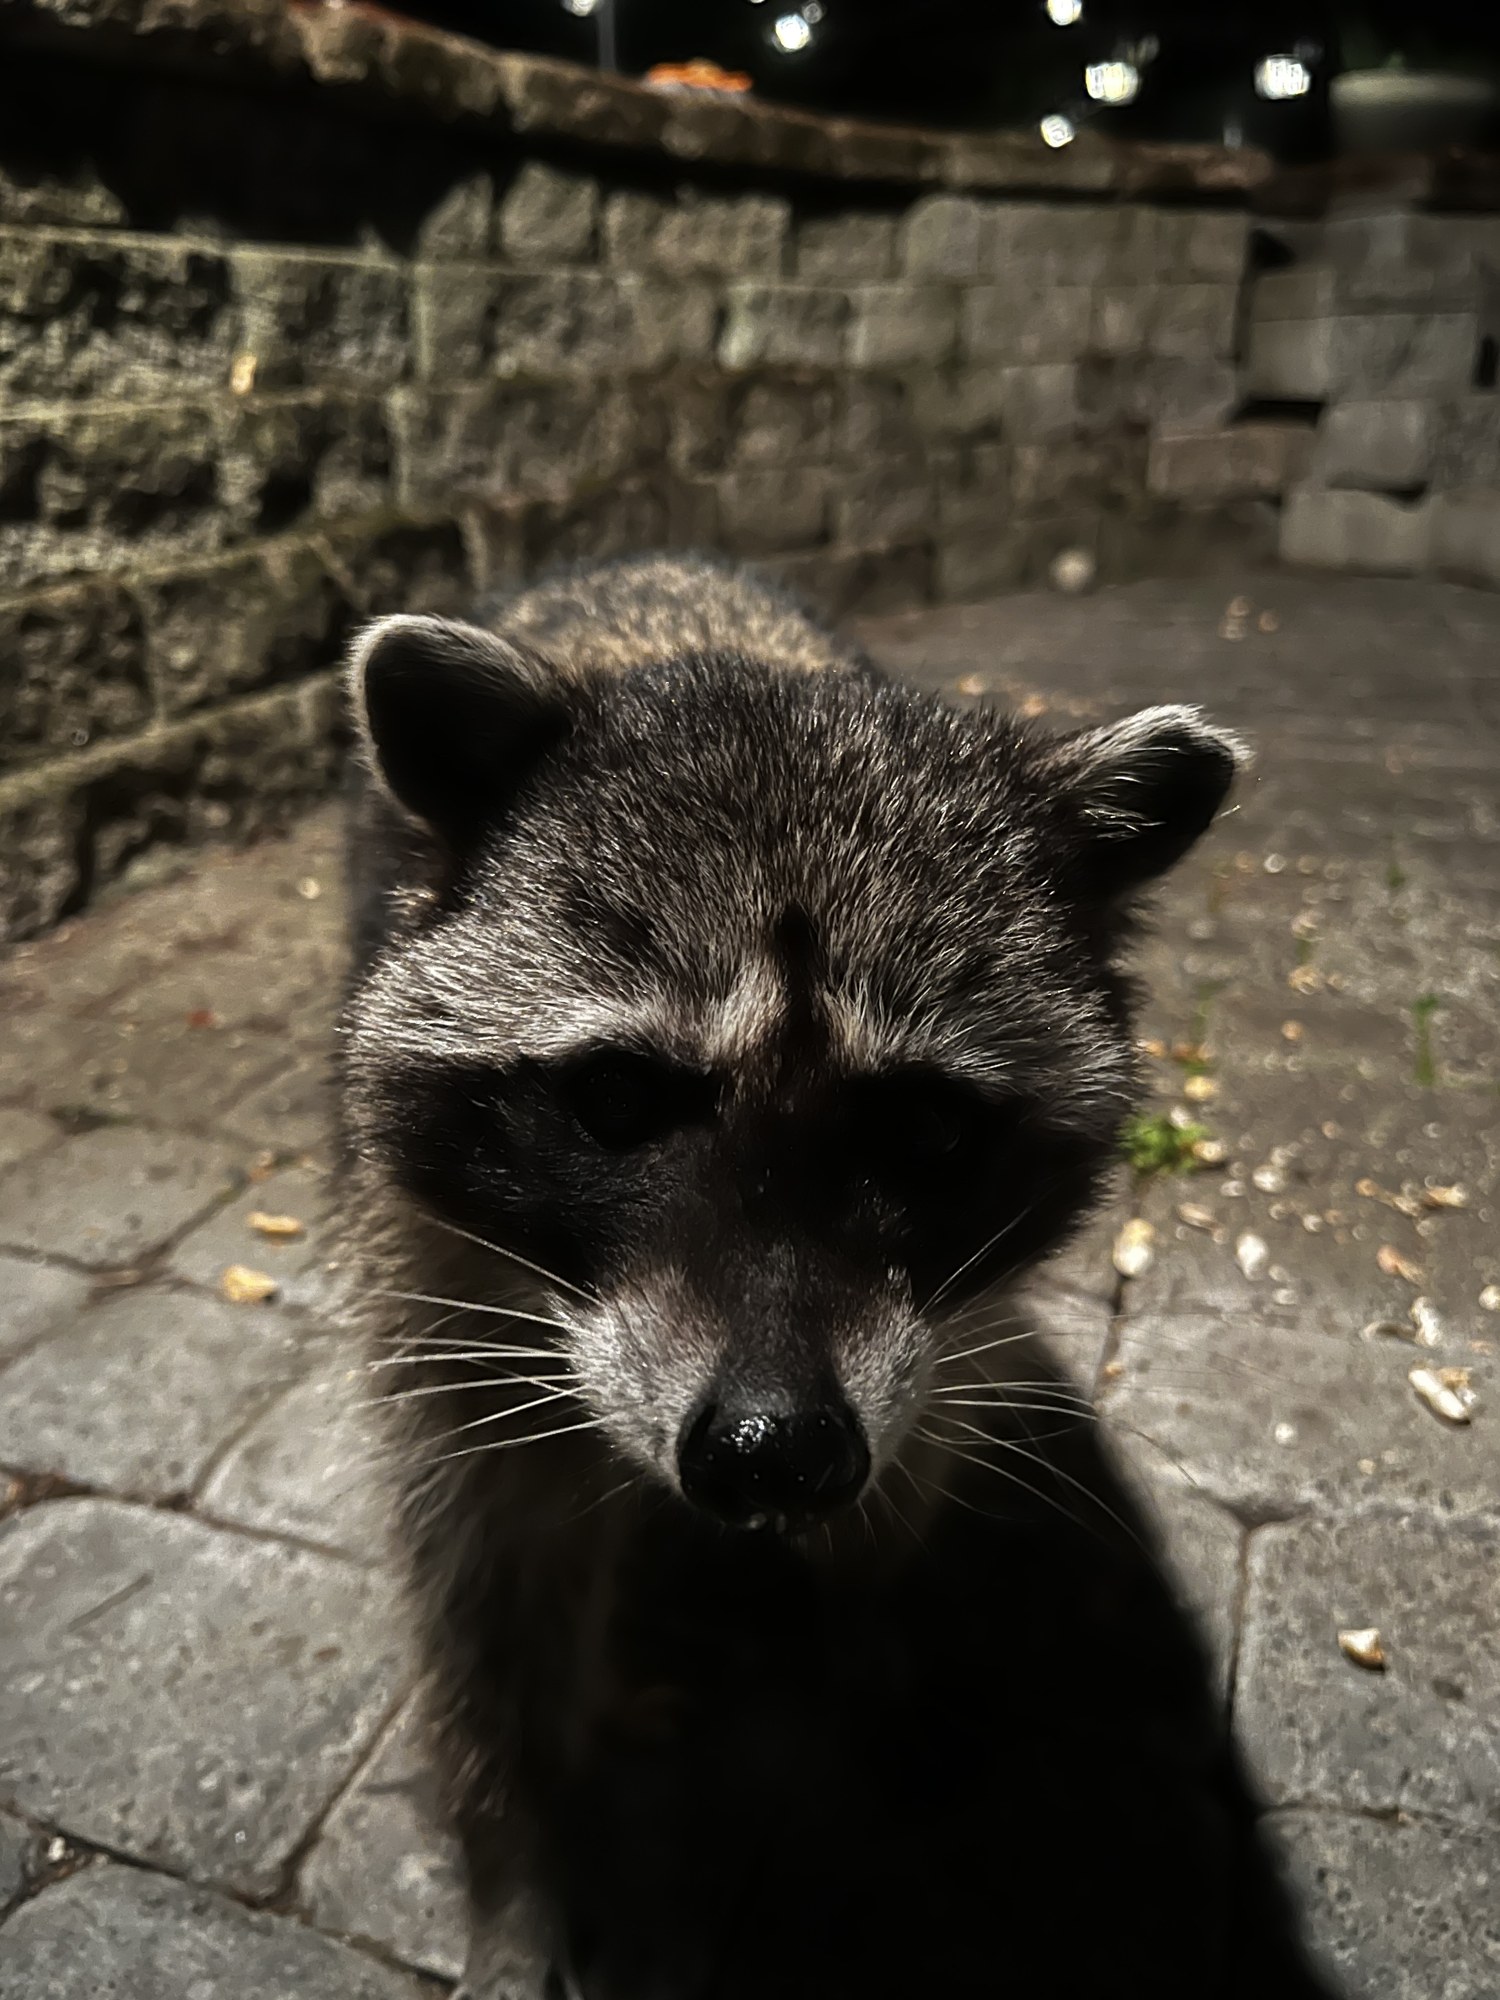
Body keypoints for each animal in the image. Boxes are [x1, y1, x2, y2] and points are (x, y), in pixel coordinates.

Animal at [337, 556, 1331, 2000]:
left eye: (924, 1131)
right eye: (618, 1098)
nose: (774, 1449)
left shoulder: (925, 1345)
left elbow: (896, 1499)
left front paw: (862, 1695)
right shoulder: (442, 1287)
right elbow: (485, 1582)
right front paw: (517, 1871)